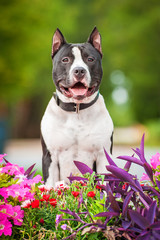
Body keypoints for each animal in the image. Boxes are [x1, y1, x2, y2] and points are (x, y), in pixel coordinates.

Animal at [40, 27, 114, 186]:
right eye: (65, 60)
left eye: (90, 59)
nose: (79, 70)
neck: (76, 110)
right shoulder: (50, 156)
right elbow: (50, 186)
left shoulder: (103, 155)